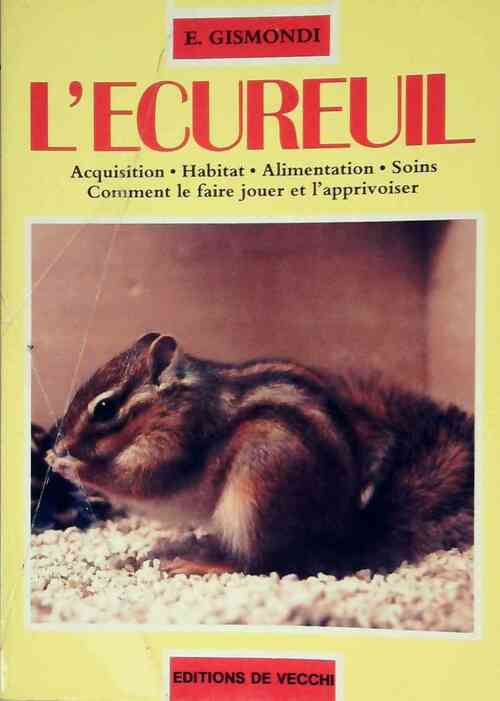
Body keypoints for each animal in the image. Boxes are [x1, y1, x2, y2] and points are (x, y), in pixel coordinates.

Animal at [47, 332, 474, 577]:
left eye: (104, 408)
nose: (62, 442)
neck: (172, 400)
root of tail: (348, 533)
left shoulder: (175, 441)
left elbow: (135, 480)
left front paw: (67, 463)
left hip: (254, 496)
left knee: (256, 564)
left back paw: (202, 563)